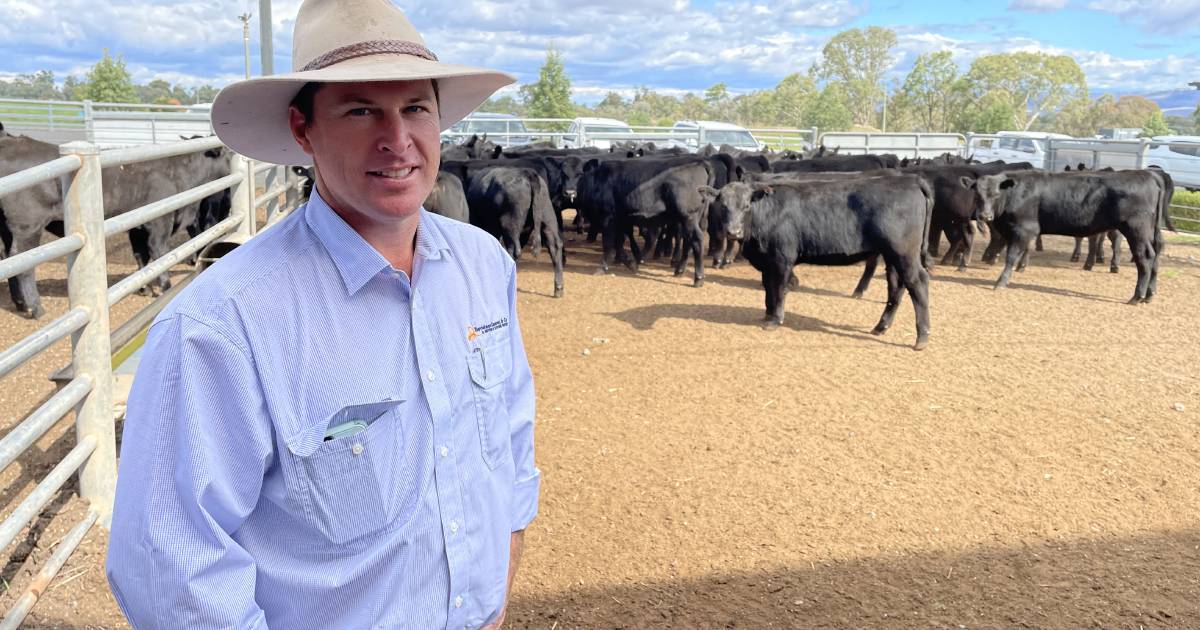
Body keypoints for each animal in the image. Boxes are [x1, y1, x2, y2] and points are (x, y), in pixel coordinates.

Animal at [739, 174, 936, 350]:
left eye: (746, 206)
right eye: (728, 206)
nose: (734, 231)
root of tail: (911, 179)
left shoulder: (782, 258)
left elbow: (778, 289)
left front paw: (774, 320)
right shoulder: (766, 262)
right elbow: (768, 289)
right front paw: (767, 315)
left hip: (904, 252)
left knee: (917, 282)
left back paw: (922, 337)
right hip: (893, 256)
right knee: (896, 285)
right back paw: (881, 327)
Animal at [979, 169, 1166, 302]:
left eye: (995, 194)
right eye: (978, 194)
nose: (984, 215)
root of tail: (1147, 174)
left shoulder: (1023, 229)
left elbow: (1011, 256)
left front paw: (1001, 282)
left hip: (1137, 230)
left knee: (1145, 257)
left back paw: (1137, 296)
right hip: (1150, 232)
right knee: (1156, 256)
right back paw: (1149, 295)